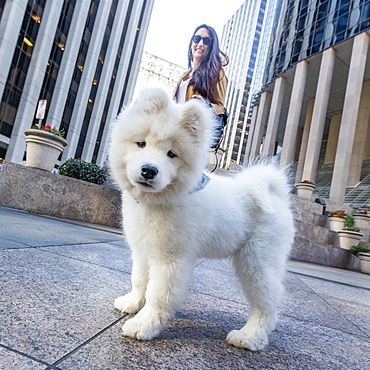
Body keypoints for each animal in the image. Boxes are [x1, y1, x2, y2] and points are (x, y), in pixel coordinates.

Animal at [107, 88, 294, 352]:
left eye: (171, 154)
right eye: (141, 143)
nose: (149, 170)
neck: (158, 201)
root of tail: (275, 194)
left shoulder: (171, 259)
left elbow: (158, 294)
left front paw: (143, 325)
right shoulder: (143, 250)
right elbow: (140, 279)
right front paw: (132, 303)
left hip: (256, 261)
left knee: (267, 302)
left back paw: (249, 337)